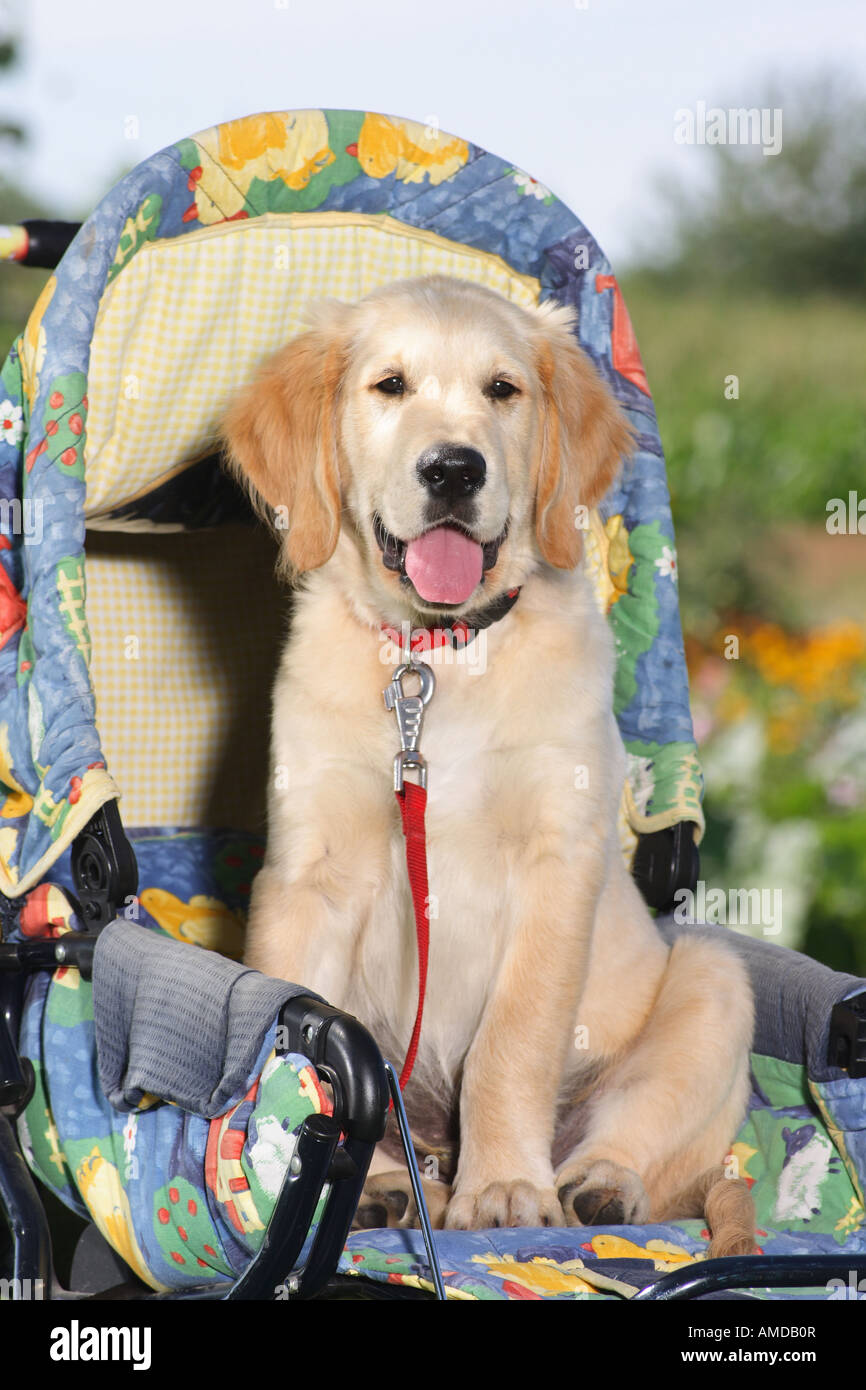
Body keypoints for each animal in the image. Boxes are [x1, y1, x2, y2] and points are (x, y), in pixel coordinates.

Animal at [219, 271, 756, 1251]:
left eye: (503, 390)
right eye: (390, 386)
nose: (453, 469)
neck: (439, 658)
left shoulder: (558, 862)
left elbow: (515, 1038)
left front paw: (505, 1185)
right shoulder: (308, 873)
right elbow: (313, 1040)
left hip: (710, 982)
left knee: (651, 1148)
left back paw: (594, 1186)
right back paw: (392, 1184)